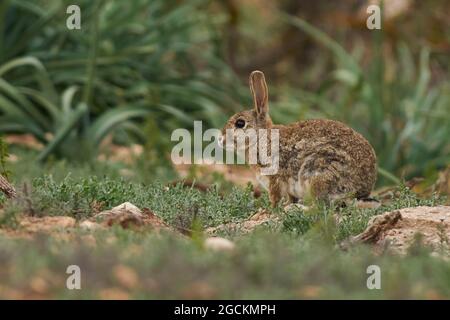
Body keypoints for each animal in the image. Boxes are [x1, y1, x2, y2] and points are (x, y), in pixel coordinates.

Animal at [220, 69, 378, 208]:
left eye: (240, 123)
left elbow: (275, 197)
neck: (261, 137)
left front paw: (267, 210)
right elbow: (290, 197)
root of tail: (361, 191)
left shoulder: (274, 177)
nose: (220, 139)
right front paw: (285, 205)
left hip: (317, 173)